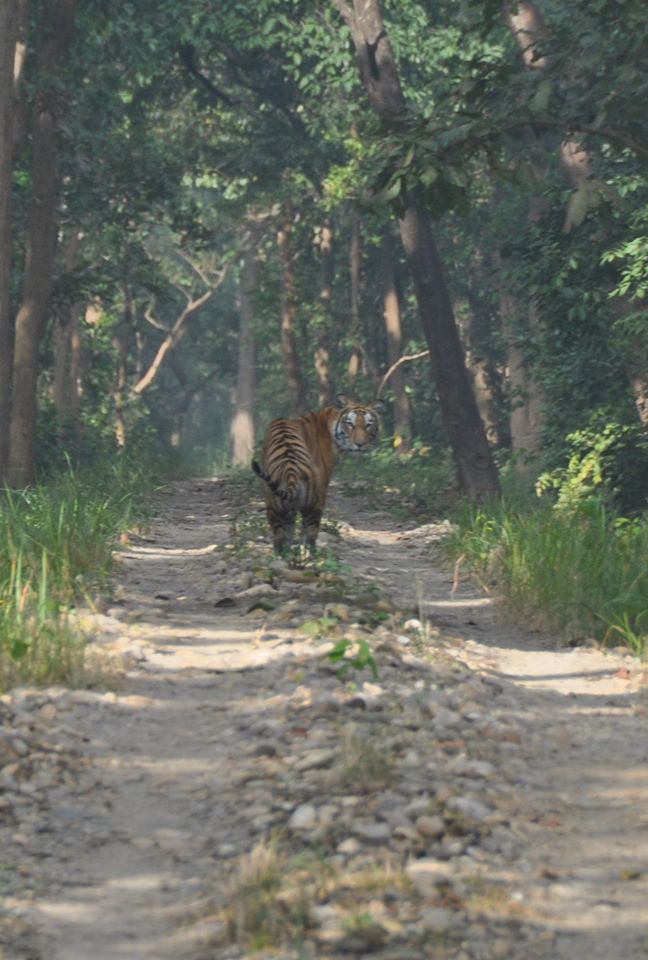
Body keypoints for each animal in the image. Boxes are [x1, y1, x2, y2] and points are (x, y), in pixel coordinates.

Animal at [253, 392, 384, 556]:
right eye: (350, 424)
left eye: (368, 425)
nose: (360, 444)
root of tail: (291, 469)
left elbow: (289, 531)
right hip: (314, 503)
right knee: (309, 535)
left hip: (273, 503)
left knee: (280, 536)